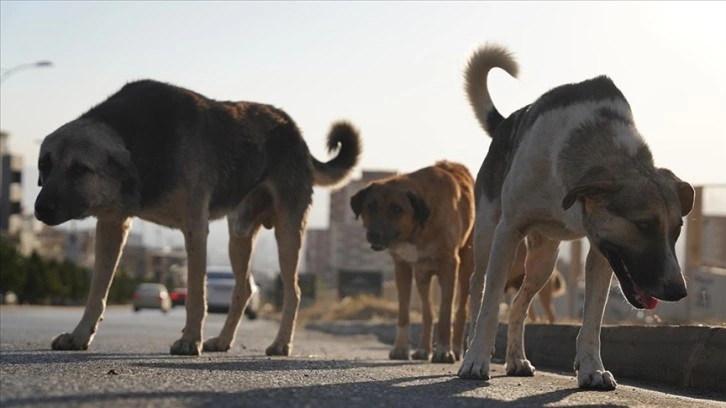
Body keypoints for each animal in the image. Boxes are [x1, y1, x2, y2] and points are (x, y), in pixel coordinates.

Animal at [36, 79, 362, 354]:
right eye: (44, 165)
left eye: (80, 170)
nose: (40, 209)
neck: (139, 141)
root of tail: (295, 132)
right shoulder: (112, 225)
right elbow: (97, 291)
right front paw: (79, 335)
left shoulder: (195, 227)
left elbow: (195, 293)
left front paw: (191, 340)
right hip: (239, 234)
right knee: (244, 288)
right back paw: (223, 340)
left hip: (288, 231)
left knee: (293, 291)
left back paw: (281, 344)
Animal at [352, 161, 478, 362]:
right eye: (371, 206)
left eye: (397, 209)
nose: (374, 234)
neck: (419, 225)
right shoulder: (402, 266)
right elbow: (405, 312)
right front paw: (401, 348)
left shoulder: (449, 265)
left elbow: (445, 312)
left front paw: (444, 350)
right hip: (422, 275)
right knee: (427, 311)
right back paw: (423, 349)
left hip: (466, 267)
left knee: (460, 311)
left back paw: (456, 349)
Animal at [458, 43, 696, 390]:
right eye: (643, 225)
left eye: (677, 230)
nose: (679, 292)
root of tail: (504, 125)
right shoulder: (509, 231)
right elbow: (490, 309)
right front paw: (477, 360)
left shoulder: (602, 251)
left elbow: (593, 321)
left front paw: (592, 369)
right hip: (488, 236)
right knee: (478, 289)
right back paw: (469, 350)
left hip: (543, 262)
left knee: (519, 305)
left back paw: (516, 359)